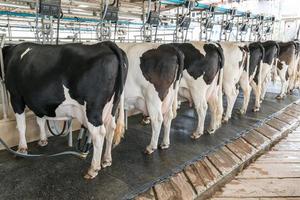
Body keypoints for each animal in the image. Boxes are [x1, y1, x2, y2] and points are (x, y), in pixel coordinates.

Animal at [1, 41, 127, 179]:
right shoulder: (37, 102)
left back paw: (93, 169)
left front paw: (22, 149)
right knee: (111, 128)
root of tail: (105, 44)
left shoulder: (16, 96)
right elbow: (40, 121)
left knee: (99, 134)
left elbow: (21, 125)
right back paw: (106, 160)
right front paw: (43, 140)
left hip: (93, 109)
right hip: (112, 105)